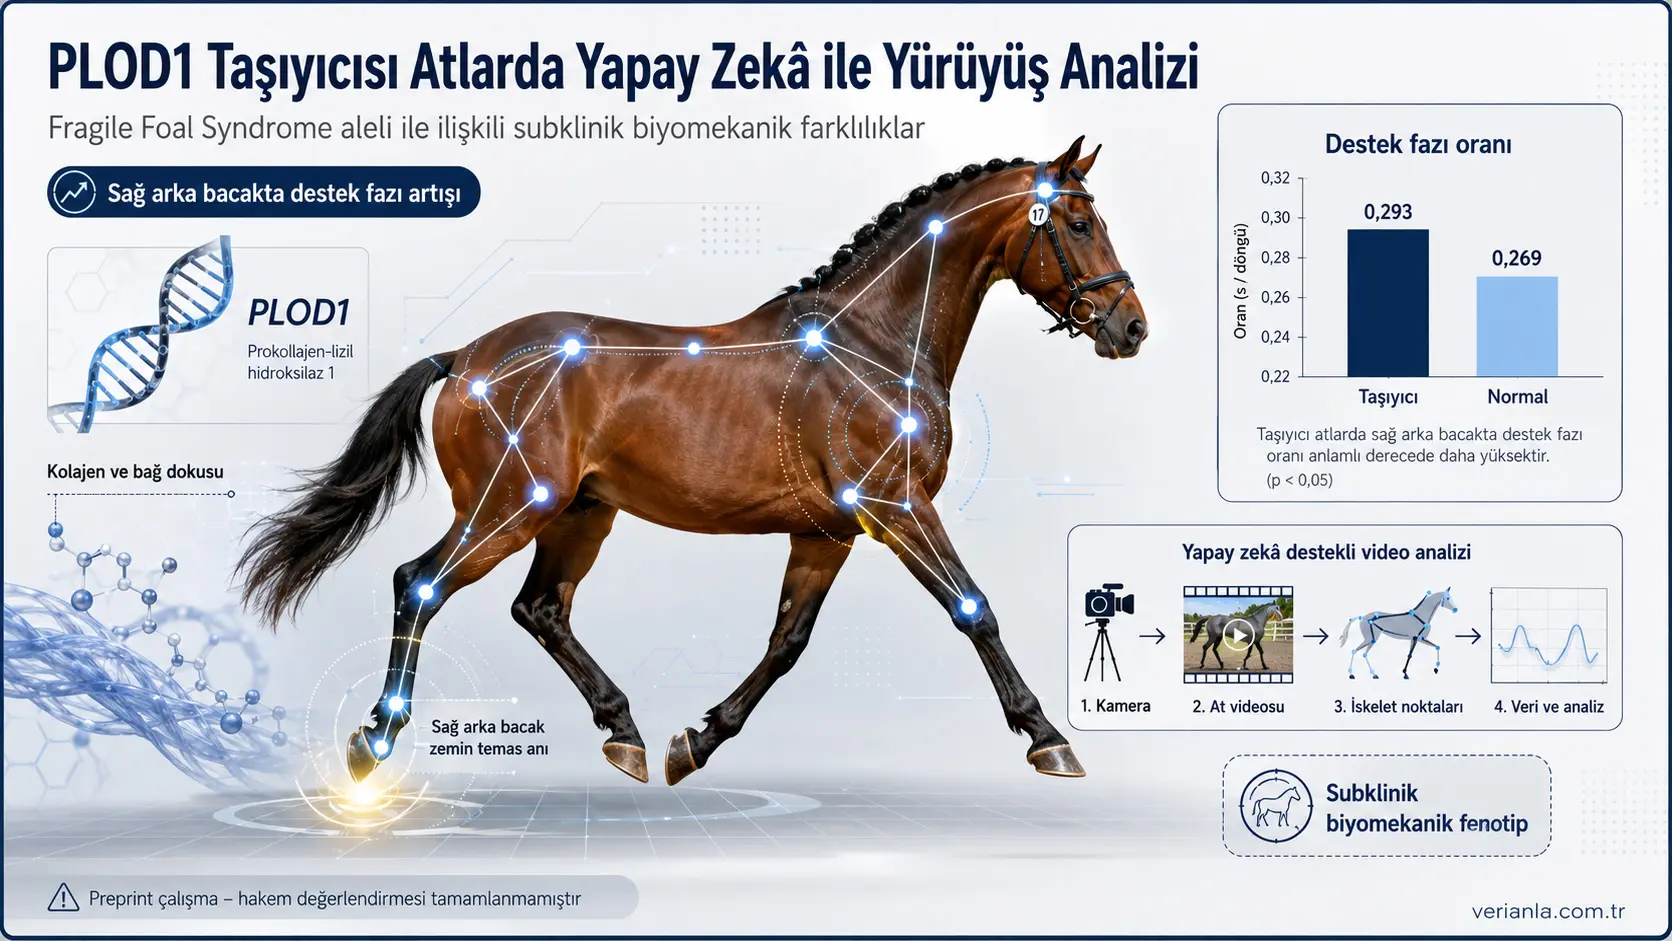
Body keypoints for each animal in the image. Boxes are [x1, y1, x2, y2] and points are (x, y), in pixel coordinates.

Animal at [236, 137, 1149, 786]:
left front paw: (696, 741)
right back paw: (374, 741)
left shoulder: (829, 532)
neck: (872, 343)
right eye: (1077, 224)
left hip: (580, 513)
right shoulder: (895, 506)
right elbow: (975, 609)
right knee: (418, 582)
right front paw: (1049, 739)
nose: (1130, 327)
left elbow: (787, 642)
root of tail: (465, 359)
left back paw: (627, 735)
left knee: (540, 608)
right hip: (508, 507)